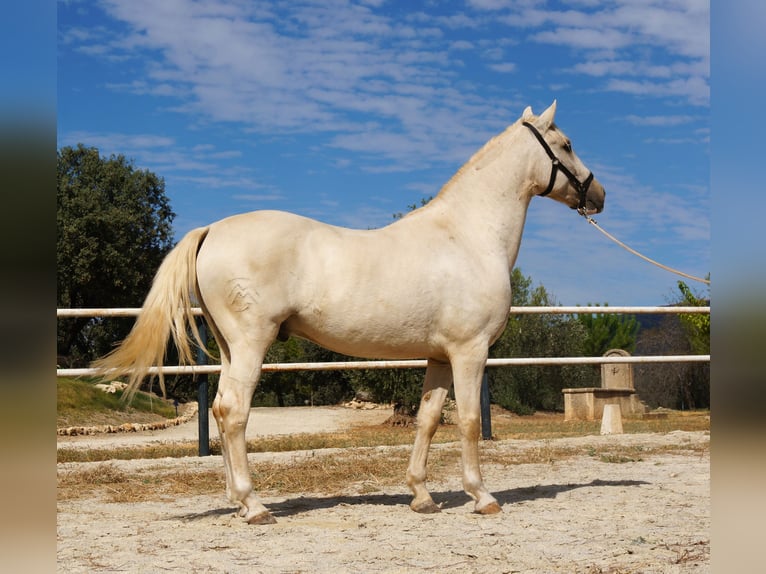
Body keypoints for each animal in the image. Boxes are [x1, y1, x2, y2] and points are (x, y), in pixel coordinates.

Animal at [96, 101, 608, 524]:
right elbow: (468, 422)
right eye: (566, 145)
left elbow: (427, 419)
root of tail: (212, 229)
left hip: (228, 347)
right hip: (251, 342)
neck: (468, 235)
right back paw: (255, 505)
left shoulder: (440, 356)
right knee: (233, 411)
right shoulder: (470, 352)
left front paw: (422, 496)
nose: (598, 195)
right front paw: (482, 497)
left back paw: (237, 501)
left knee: (223, 412)